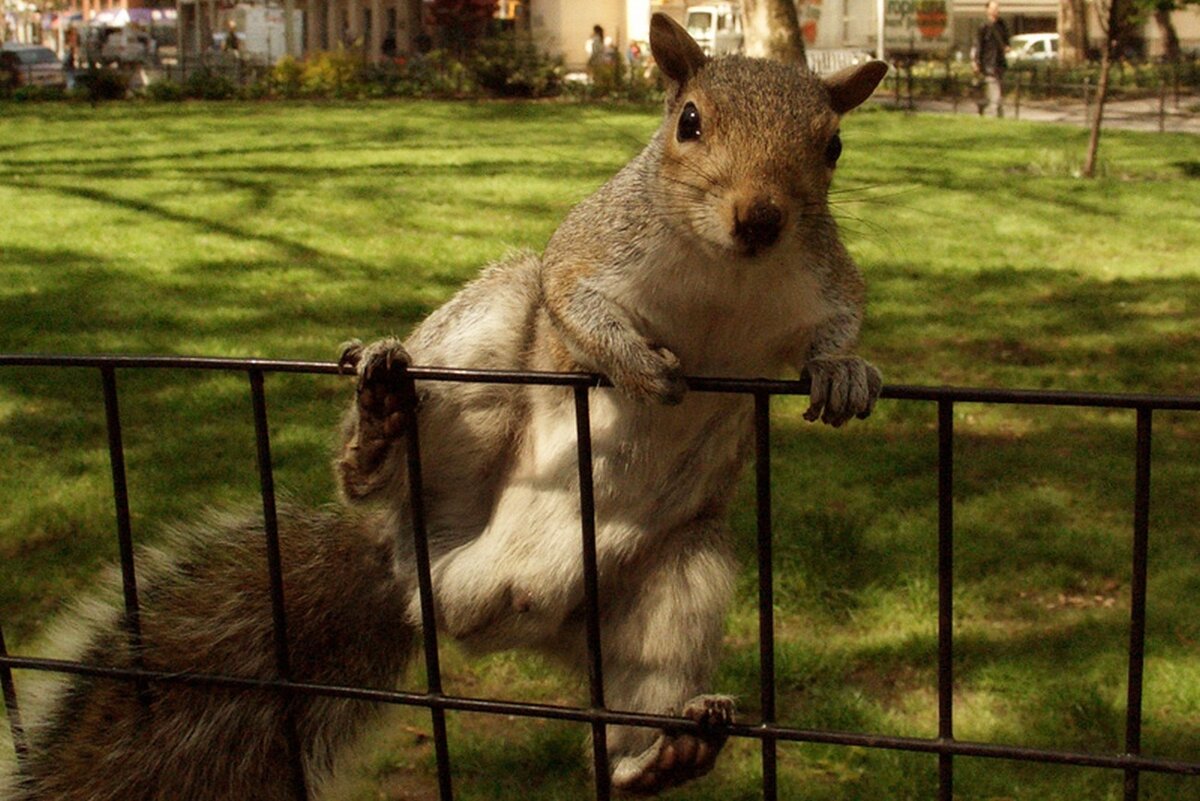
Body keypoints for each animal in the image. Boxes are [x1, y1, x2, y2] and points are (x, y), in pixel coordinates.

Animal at [4, 14, 888, 801]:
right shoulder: (593, 247)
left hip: (678, 579)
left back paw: (661, 756)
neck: (726, 273)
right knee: (390, 460)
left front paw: (843, 372)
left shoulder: (821, 275)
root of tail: (427, 583)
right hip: (480, 360)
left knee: (629, 714)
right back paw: (376, 432)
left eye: (835, 146)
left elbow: (841, 322)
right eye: (689, 122)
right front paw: (633, 364)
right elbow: (573, 300)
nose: (761, 218)